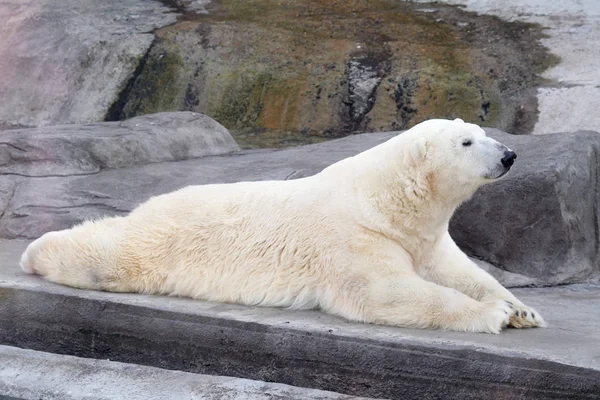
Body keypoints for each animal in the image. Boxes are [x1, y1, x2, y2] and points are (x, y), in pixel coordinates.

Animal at [21, 118, 544, 332]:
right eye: (466, 142)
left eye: (482, 132)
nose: (509, 154)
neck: (384, 199)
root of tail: (153, 202)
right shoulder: (354, 236)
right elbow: (384, 292)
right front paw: (494, 315)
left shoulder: (422, 237)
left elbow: (458, 270)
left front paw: (523, 309)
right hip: (165, 240)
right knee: (110, 254)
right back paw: (34, 250)